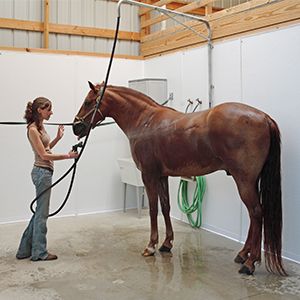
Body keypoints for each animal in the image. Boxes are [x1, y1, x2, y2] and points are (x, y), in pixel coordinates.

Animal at [72, 81, 286, 276]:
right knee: (253, 214)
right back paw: (242, 254)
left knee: (257, 213)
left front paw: (151, 246)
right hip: (250, 181)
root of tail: (263, 117)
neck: (144, 121)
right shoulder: (162, 176)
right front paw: (166, 244)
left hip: (244, 181)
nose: (76, 127)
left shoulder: (148, 175)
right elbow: (166, 207)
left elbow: (153, 209)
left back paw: (250, 263)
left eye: (88, 102)